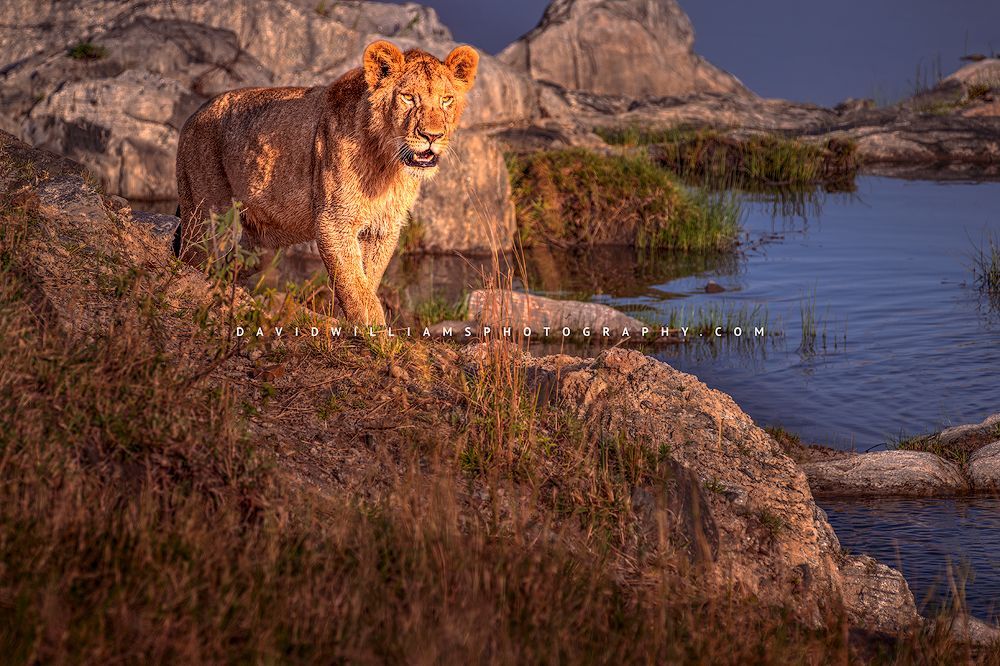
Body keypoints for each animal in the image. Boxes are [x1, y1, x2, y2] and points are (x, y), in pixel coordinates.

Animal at [175, 40, 479, 326]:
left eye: (446, 100)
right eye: (407, 98)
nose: (432, 135)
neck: (388, 163)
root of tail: (195, 112)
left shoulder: (384, 227)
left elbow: (368, 279)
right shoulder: (333, 222)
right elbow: (354, 285)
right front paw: (374, 332)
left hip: (261, 243)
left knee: (232, 263)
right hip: (205, 216)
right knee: (192, 258)